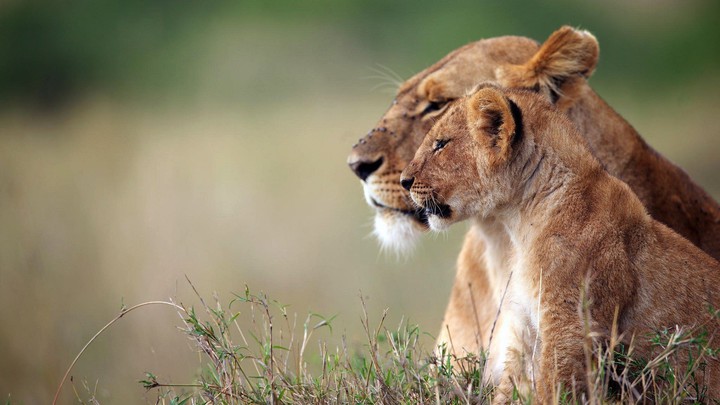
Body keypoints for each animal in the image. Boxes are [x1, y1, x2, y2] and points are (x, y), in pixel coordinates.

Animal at [401, 83, 720, 402]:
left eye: (441, 144)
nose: (405, 181)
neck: (519, 223)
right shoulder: (525, 331)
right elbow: (510, 390)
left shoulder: (572, 328)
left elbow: (554, 389)